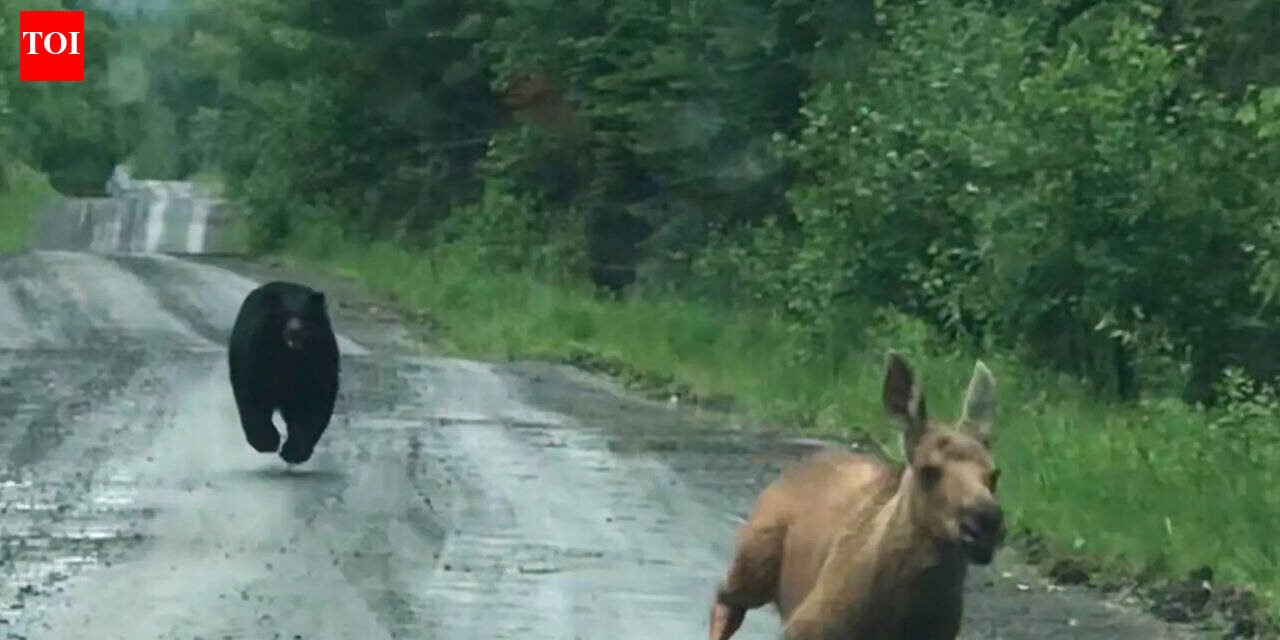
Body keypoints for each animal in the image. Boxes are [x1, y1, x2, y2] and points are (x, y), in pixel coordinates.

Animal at [227, 280, 340, 465]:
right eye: (284, 315)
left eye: (305, 315)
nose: (295, 330)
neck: (289, 356)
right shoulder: (256, 355)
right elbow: (253, 394)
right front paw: (265, 441)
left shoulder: (319, 359)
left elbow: (315, 402)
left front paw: (295, 451)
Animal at [707, 352, 1004, 640]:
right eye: (928, 470)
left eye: (994, 474)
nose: (985, 523)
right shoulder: (804, 628)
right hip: (755, 559)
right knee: (726, 599)